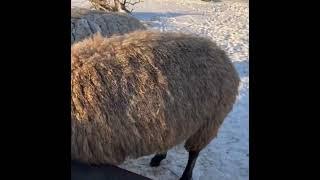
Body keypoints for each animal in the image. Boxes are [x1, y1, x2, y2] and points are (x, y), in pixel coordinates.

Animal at [70, 30, 240, 179]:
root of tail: (221, 53)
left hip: (208, 123)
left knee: (193, 154)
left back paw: (185, 176)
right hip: (174, 121)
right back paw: (158, 158)